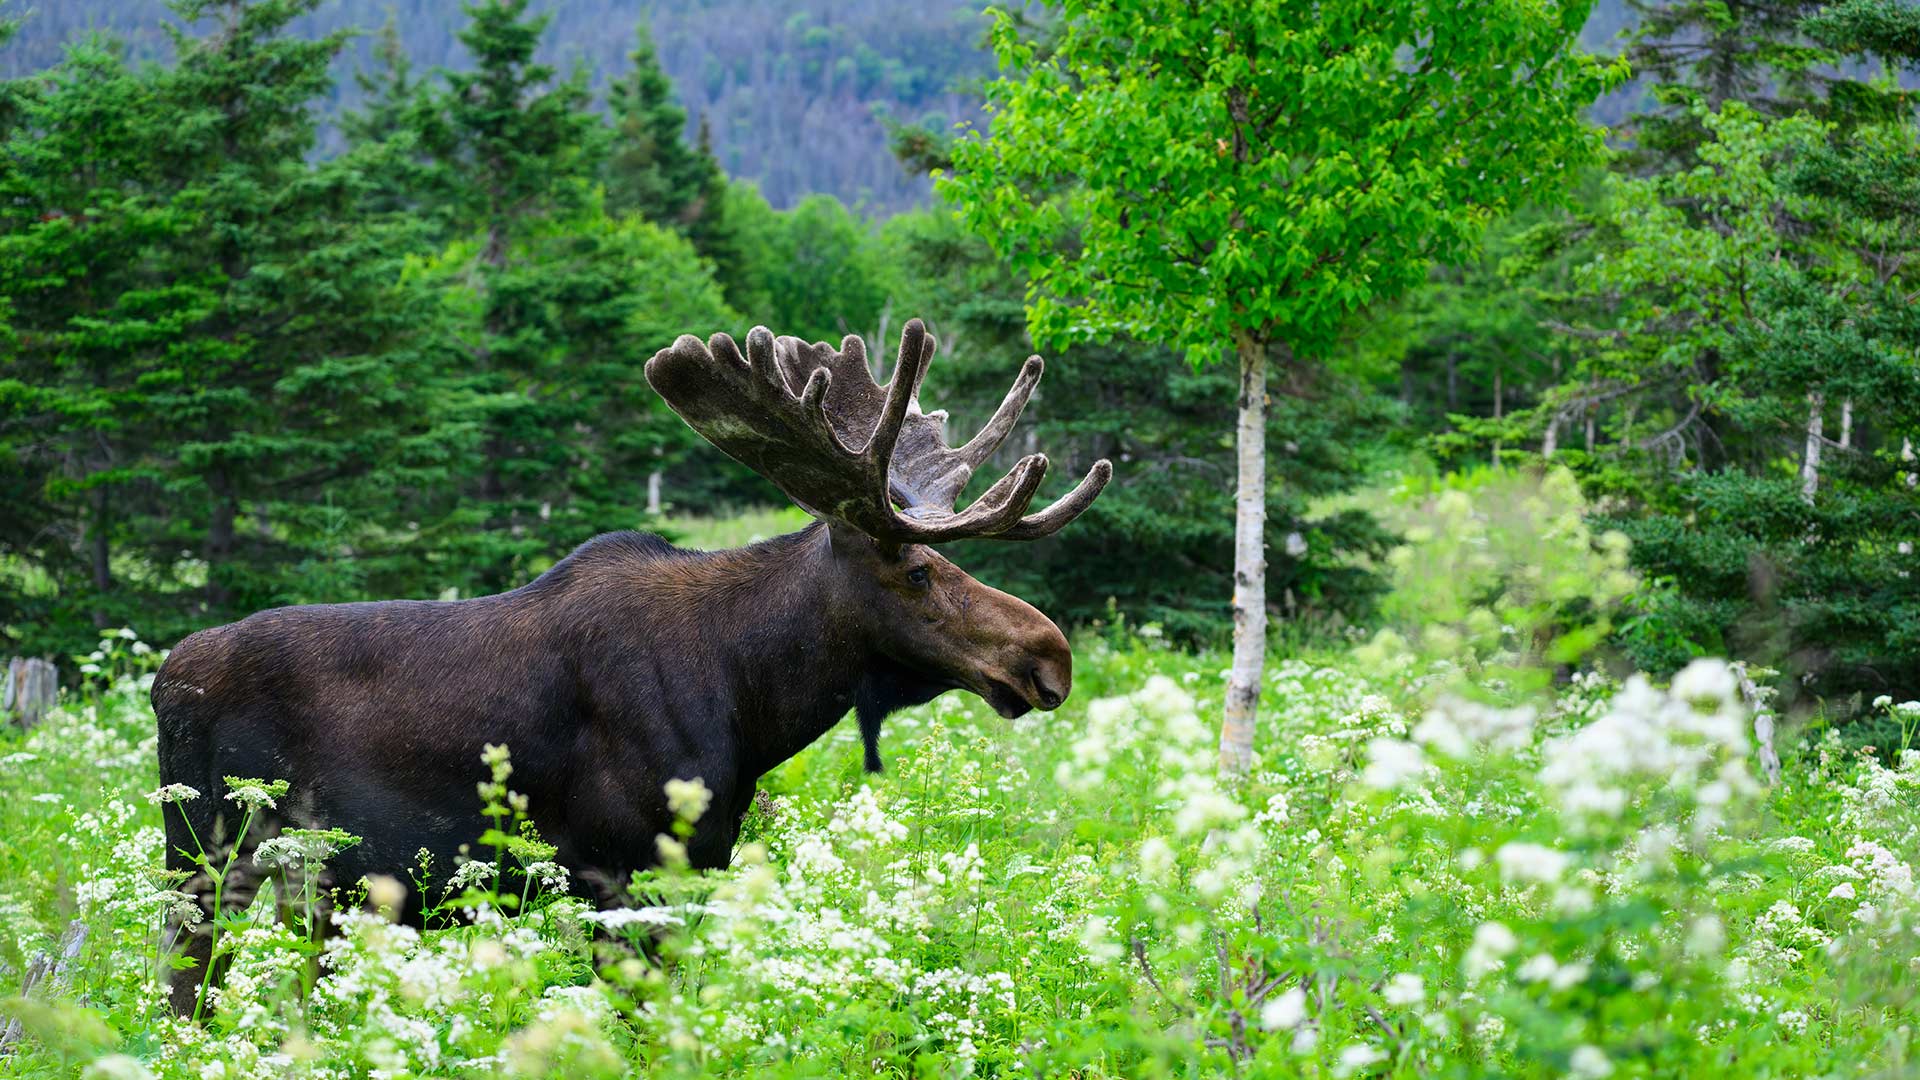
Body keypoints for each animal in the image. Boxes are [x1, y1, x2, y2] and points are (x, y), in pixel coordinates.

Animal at [152, 318, 1110, 1016]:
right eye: (917, 572)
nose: (1049, 654)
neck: (750, 701)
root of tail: (164, 680)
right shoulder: (617, 873)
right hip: (209, 858)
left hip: (314, 886)